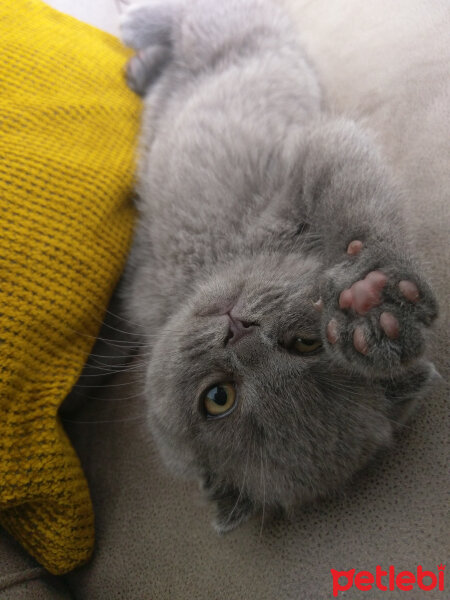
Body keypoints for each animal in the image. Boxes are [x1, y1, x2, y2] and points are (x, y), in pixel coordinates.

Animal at [118, 1, 436, 536]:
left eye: (304, 343)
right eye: (218, 397)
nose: (239, 330)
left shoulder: (315, 153)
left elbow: (360, 209)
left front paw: (371, 301)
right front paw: (371, 301)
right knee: (185, 18)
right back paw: (136, 38)